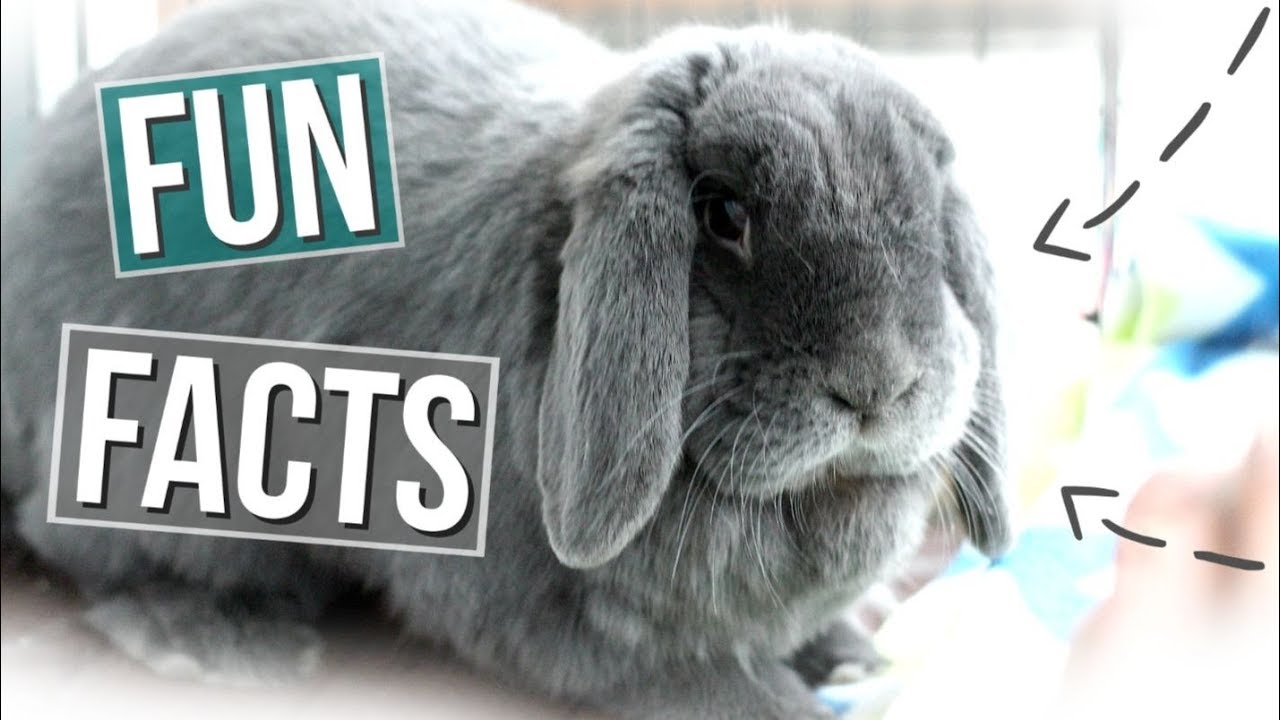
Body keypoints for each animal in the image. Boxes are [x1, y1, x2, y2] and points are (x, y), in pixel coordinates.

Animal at [0, 0, 1011, 717]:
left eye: (928, 212)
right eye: (723, 213)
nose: (879, 384)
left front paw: (854, 656)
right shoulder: (561, 624)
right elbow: (711, 688)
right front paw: (793, 699)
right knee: (84, 555)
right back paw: (221, 641)